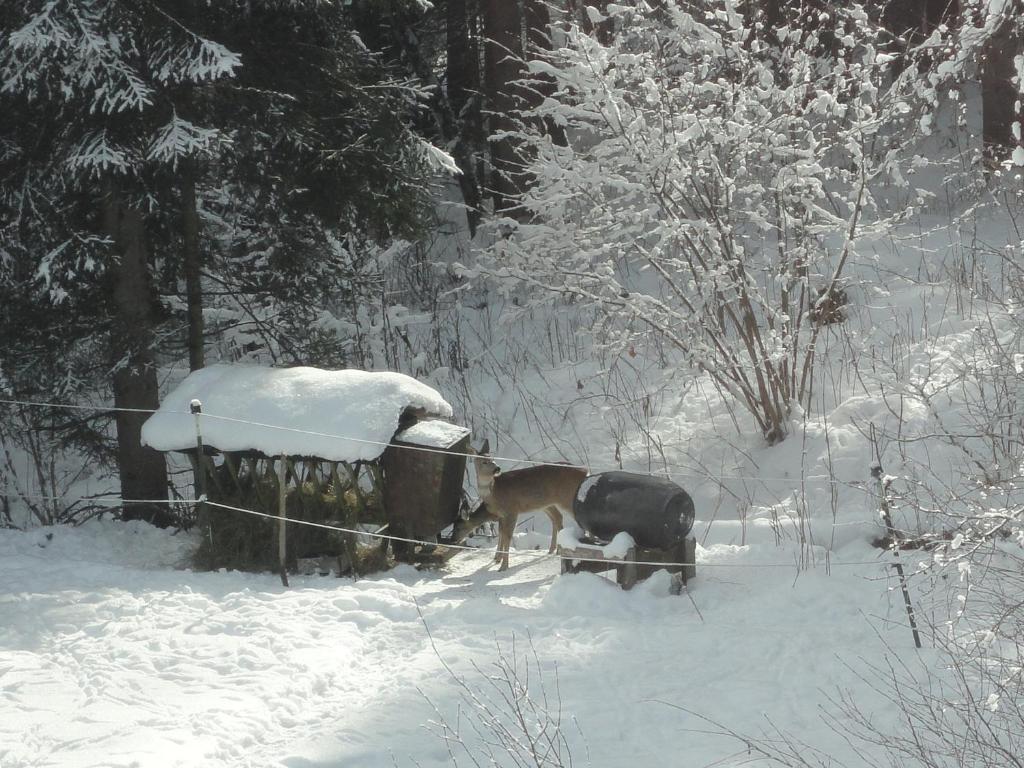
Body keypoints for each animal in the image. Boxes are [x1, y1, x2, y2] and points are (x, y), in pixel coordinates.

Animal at [454, 444, 589, 573]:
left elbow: (507, 536)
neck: (494, 494)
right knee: (558, 518)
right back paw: (554, 550)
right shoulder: (502, 515)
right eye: (484, 461)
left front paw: (503, 566)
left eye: (492, 459)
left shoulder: (512, 510)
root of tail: (585, 471)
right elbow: (501, 534)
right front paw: (497, 558)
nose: (497, 468)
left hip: (567, 498)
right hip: (546, 504)